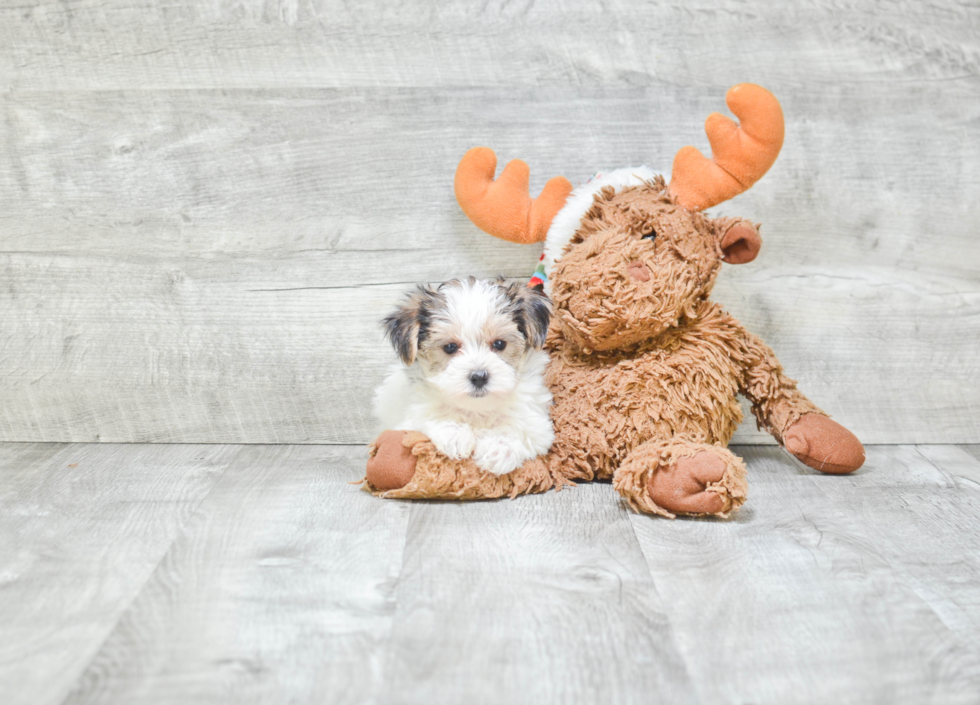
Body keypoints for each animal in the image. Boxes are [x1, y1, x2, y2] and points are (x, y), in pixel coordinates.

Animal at [374, 278, 556, 476]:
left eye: (500, 344)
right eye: (450, 347)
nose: (479, 377)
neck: (476, 408)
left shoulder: (537, 425)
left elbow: (521, 429)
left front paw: (499, 447)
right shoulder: (407, 422)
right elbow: (428, 419)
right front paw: (455, 433)